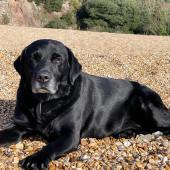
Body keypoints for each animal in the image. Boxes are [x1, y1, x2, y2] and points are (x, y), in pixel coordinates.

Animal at [0, 39, 169, 169]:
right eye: (33, 58)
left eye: (57, 59)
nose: (42, 77)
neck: (44, 103)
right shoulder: (19, 127)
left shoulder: (70, 135)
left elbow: (51, 146)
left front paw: (35, 159)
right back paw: (128, 132)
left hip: (143, 100)